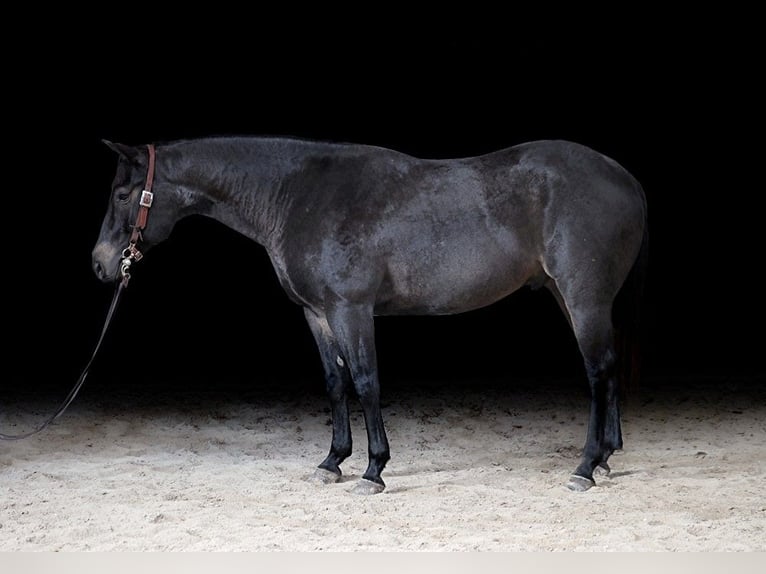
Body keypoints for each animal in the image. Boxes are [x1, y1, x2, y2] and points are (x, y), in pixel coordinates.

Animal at [94, 136, 648, 496]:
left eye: (122, 194)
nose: (100, 264)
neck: (296, 195)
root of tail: (625, 179)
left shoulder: (351, 309)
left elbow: (365, 381)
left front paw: (373, 470)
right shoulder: (317, 314)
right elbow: (336, 384)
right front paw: (332, 461)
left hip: (582, 296)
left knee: (597, 372)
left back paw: (585, 467)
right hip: (571, 296)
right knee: (608, 369)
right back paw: (607, 458)